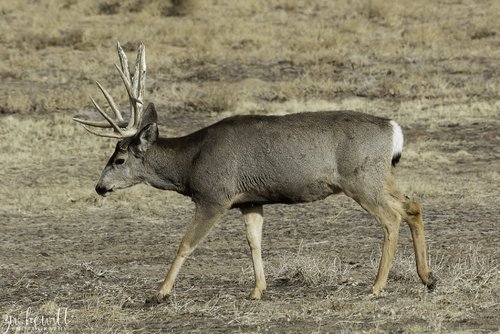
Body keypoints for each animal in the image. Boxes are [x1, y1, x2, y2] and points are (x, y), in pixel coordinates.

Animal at [72, 43, 436, 304]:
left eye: (119, 159)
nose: (99, 187)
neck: (190, 163)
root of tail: (393, 129)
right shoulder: (250, 201)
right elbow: (254, 243)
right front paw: (258, 290)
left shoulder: (214, 196)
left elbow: (186, 243)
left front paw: (159, 293)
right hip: (381, 176)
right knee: (412, 205)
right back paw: (428, 278)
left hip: (361, 179)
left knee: (391, 218)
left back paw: (377, 286)